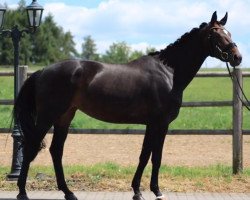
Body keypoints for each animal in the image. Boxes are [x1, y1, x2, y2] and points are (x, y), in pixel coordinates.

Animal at [14, 12, 241, 200]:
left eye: (229, 32)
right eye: (215, 34)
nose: (237, 57)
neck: (169, 73)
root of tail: (42, 71)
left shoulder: (152, 124)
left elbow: (146, 155)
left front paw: (139, 190)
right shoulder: (160, 123)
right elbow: (155, 157)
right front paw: (154, 191)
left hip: (64, 116)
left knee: (56, 150)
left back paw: (68, 192)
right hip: (48, 116)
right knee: (31, 146)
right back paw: (22, 192)